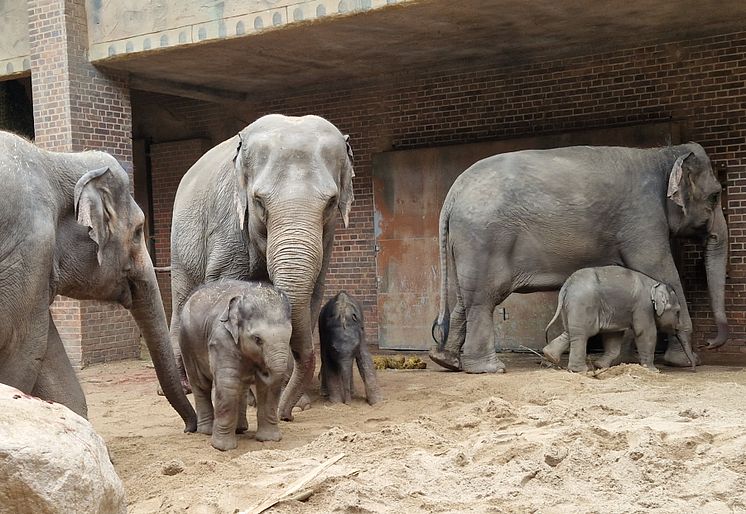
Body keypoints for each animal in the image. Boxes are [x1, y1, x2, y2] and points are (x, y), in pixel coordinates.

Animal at [0, 129, 196, 428]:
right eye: (138, 231)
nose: (190, 427)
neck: (55, 160)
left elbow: (56, 374)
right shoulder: (27, 250)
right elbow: (17, 350)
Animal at [170, 114, 354, 418]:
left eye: (331, 203)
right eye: (258, 201)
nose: (286, 414)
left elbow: (311, 297)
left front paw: (295, 401)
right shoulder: (229, 226)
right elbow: (224, 285)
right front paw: (251, 397)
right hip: (181, 245)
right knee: (182, 295)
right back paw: (180, 386)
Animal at [179, 276, 292, 448]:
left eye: (290, 336)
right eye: (257, 339)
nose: (264, 370)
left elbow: (268, 386)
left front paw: (269, 439)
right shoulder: (221, 340)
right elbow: (227, 385)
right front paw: (222, 447)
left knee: (241, 387)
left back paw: (240, 429)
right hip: (188, 345)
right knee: (200, 384)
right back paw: (206, 431)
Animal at [540, 266, 680, 370]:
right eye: (678, 312)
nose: (677, 328)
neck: (654, 283)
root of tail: (567, 284)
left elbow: (614, 336)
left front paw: (600, 366)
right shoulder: (643, 306)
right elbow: (645, 332)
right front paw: (653, 370)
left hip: (570, 306)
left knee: (571, 331)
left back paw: (550, 355)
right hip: (583, 303)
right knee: (582, 334)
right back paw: (580, 370)